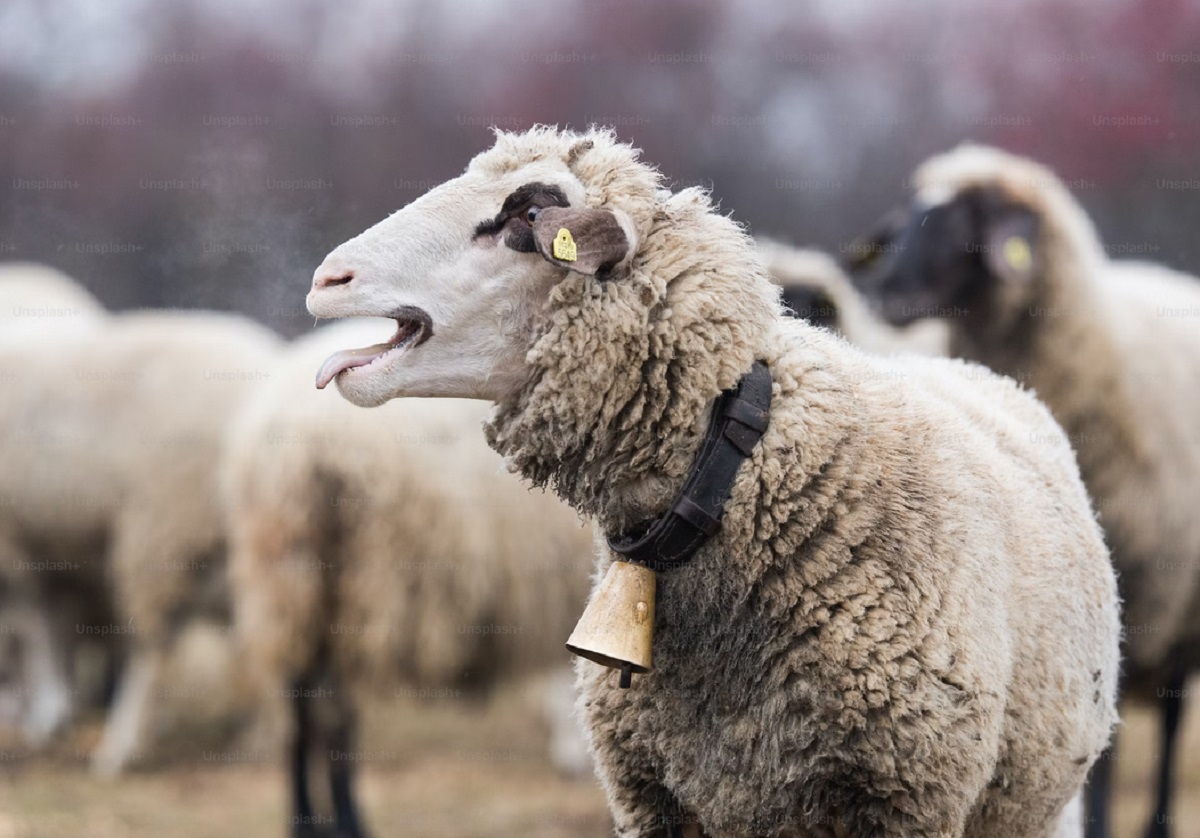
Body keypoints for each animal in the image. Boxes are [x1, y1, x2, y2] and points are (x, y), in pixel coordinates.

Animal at [0, 309, 280, 773]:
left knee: (152, 648)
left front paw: (47, 713)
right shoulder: (52, 551)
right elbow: (53, 627)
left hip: (160, 531)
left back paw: (120, 747)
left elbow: (36, 630)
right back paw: (260, 735)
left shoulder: (18, 545)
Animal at [222, 319, 595, 835]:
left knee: (301, 707)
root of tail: (292, 444)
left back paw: (305, 821)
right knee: (334, 712)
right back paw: (348, 821)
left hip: (290, 580)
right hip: (357, 580)